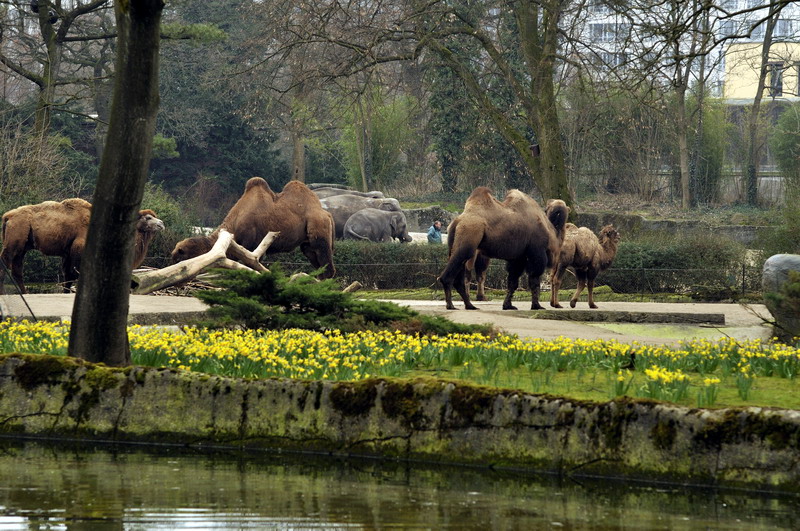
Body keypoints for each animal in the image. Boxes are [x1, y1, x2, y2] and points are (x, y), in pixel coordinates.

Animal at [0, 199, 165, 294]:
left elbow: (67, 276)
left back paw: (24, 293)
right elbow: (74, 274)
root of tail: (7, 216)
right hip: (14, 241)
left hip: (22, 247)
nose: (161, 224)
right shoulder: (78, 250)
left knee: (17, 269)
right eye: (148, 218)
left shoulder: (67, 253)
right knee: (5, 262)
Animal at [171, 177, 336, 279]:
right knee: (313, 255)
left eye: (181, 257)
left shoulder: (252, 244)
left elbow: (252, 265)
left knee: (324, 258)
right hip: (307, 242)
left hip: (318, 228)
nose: (172, 266)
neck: (235, 223)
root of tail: (327, 214)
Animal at [438, 187, 569, 310]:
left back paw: (469, 305)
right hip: (469, 236)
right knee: (450, 274)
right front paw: (536, 305)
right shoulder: (536, 252)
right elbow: (534, 280)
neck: (551, 231)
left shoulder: (518, 257)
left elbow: (512, 282)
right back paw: (451, 305)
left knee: (459, 277)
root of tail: (457, 221)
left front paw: (507, 305)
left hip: (455, 244)